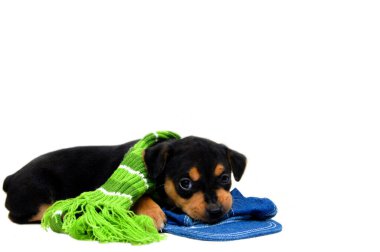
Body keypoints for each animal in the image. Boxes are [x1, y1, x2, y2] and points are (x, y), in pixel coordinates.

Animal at [2, 137, 246, 229]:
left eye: (225, 178)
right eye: (185, 183)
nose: (216, 211)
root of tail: (11, 177)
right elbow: (139, 196)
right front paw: (152, 215)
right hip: (37, 194)